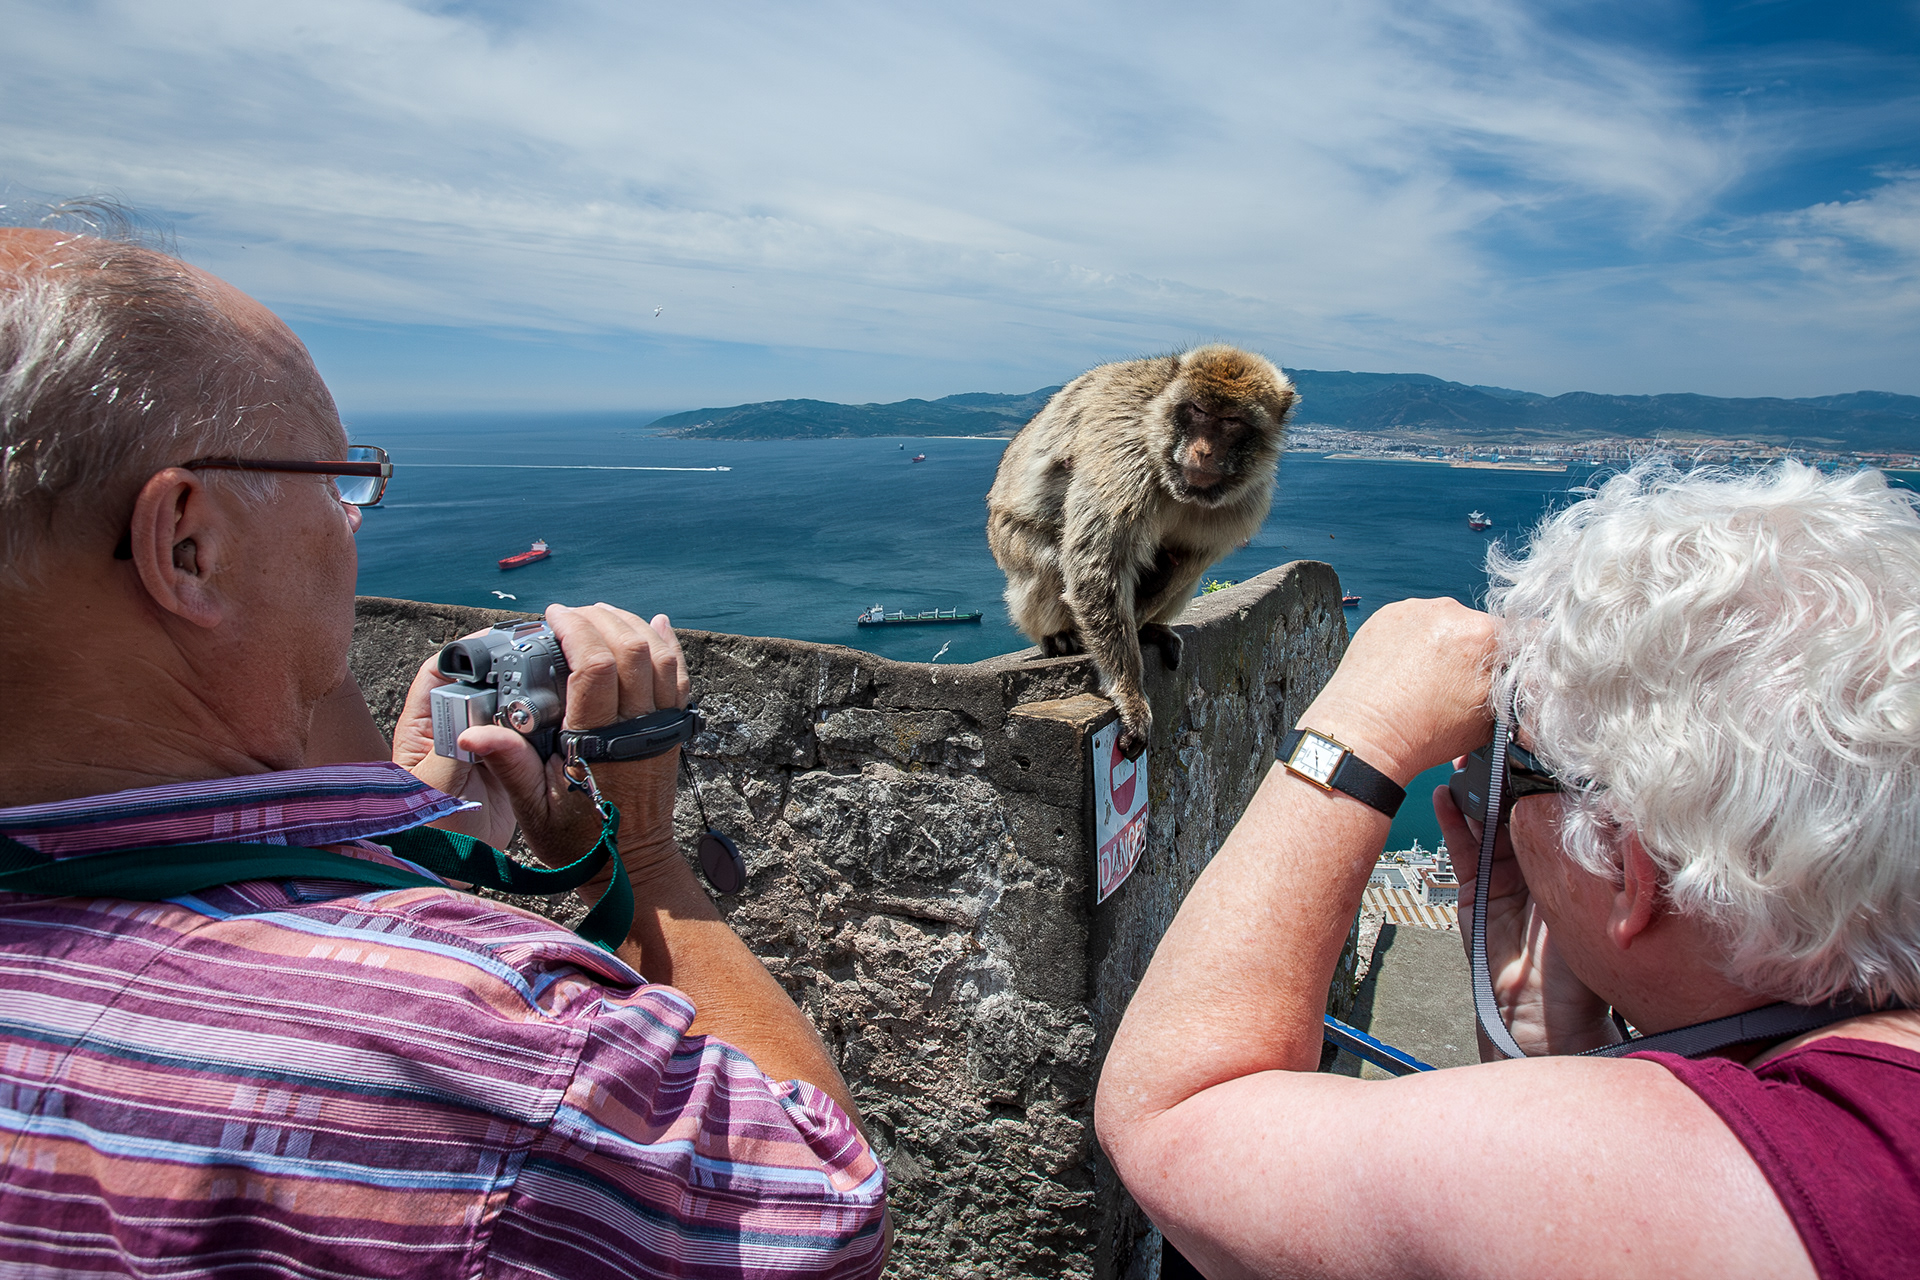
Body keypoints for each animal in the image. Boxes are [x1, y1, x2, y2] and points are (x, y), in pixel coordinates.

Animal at [986, 345, 1295, 757]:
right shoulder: (1126, 456)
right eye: (1198, 411)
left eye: (1231, 420)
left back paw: (1148, 628)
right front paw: (1129, 694)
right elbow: (1096, 564)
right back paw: (1061, 638)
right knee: (1054, 562)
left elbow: (1189, 558)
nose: (1202, 450)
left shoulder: (1245, 502)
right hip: (1011, 544)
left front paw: (1139, 625)